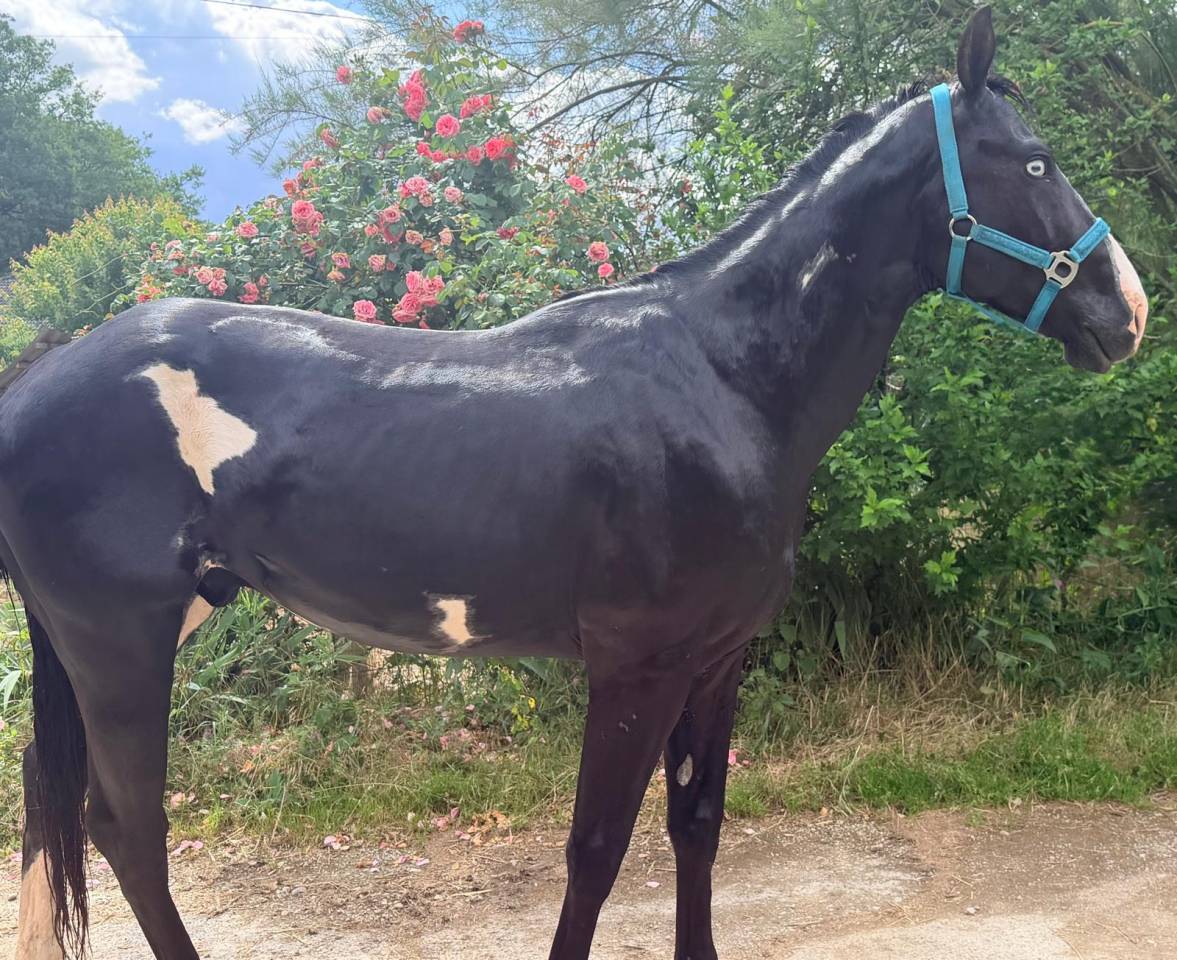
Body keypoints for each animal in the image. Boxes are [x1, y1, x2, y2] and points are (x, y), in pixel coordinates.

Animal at [2, 7, 1148, 958]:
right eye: (1033, 161)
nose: (1127, 311)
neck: (721, 377)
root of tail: (38, 378)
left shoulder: (716, 661)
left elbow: (696, 827)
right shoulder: (635, 667)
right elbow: (596, 851)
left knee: (54, 823)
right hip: (120, 642)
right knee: (126, 830)